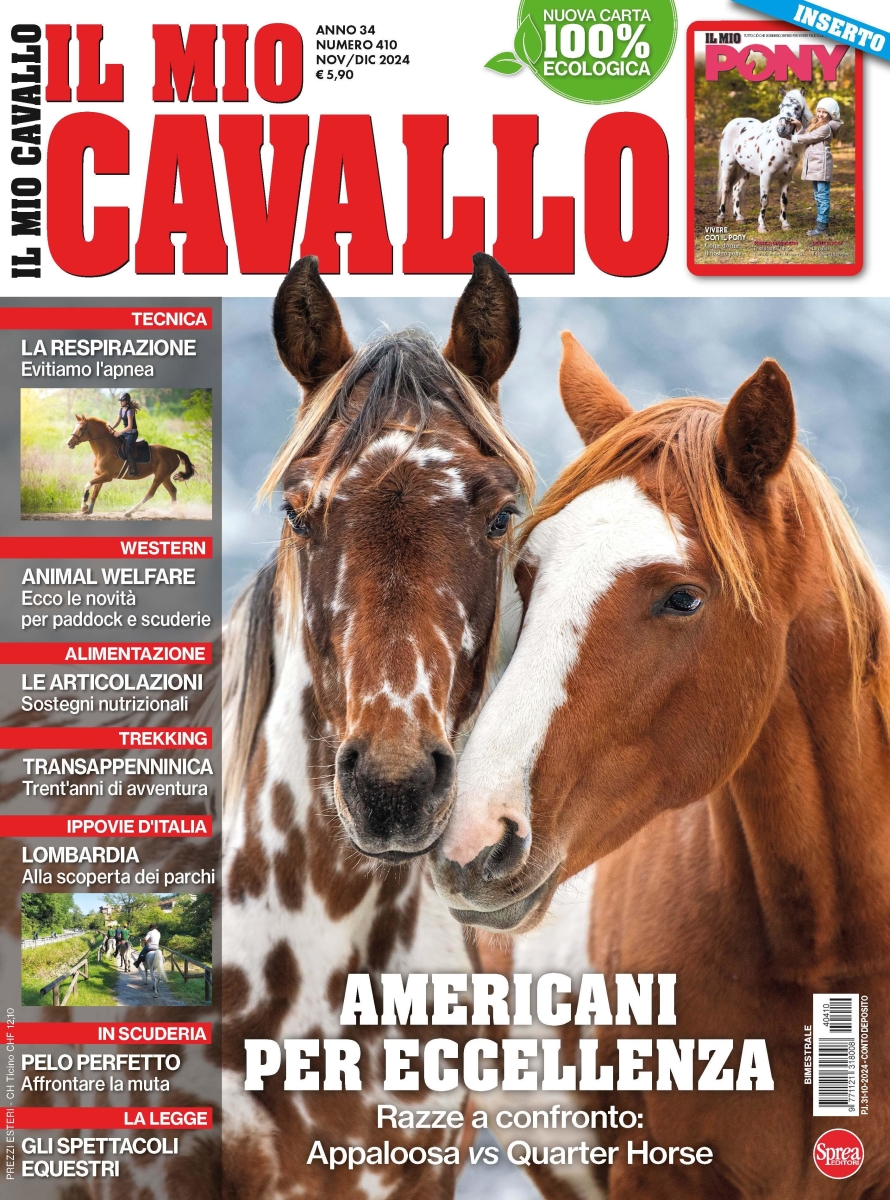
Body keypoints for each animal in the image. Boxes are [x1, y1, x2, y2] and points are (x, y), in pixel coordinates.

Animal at [66, 413, 196, 516]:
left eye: (81, 428)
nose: (69, 443)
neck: (104, 451)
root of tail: (173, 451)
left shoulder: (107, 476)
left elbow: (88, 484)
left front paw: (84, 507)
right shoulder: (99, 475)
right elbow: (94, 492)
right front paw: (88, 510)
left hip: (160, 476)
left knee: (150, 494)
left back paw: (130, 512)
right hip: (165, 477)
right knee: (172, 490)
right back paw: (172, 512)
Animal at [717, 88, 814, 232]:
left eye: (797, 108)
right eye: (780, 107)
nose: (781, 130)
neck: (783, 146)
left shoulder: (786, 177)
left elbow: (784, 201)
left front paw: (785, 224)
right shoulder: (766, 175)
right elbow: (764, 200)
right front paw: (762, 226)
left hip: (744, 171)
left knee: (735, 189)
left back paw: (739, 217)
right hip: (728, 166)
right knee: (725, 189)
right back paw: (721, 217)